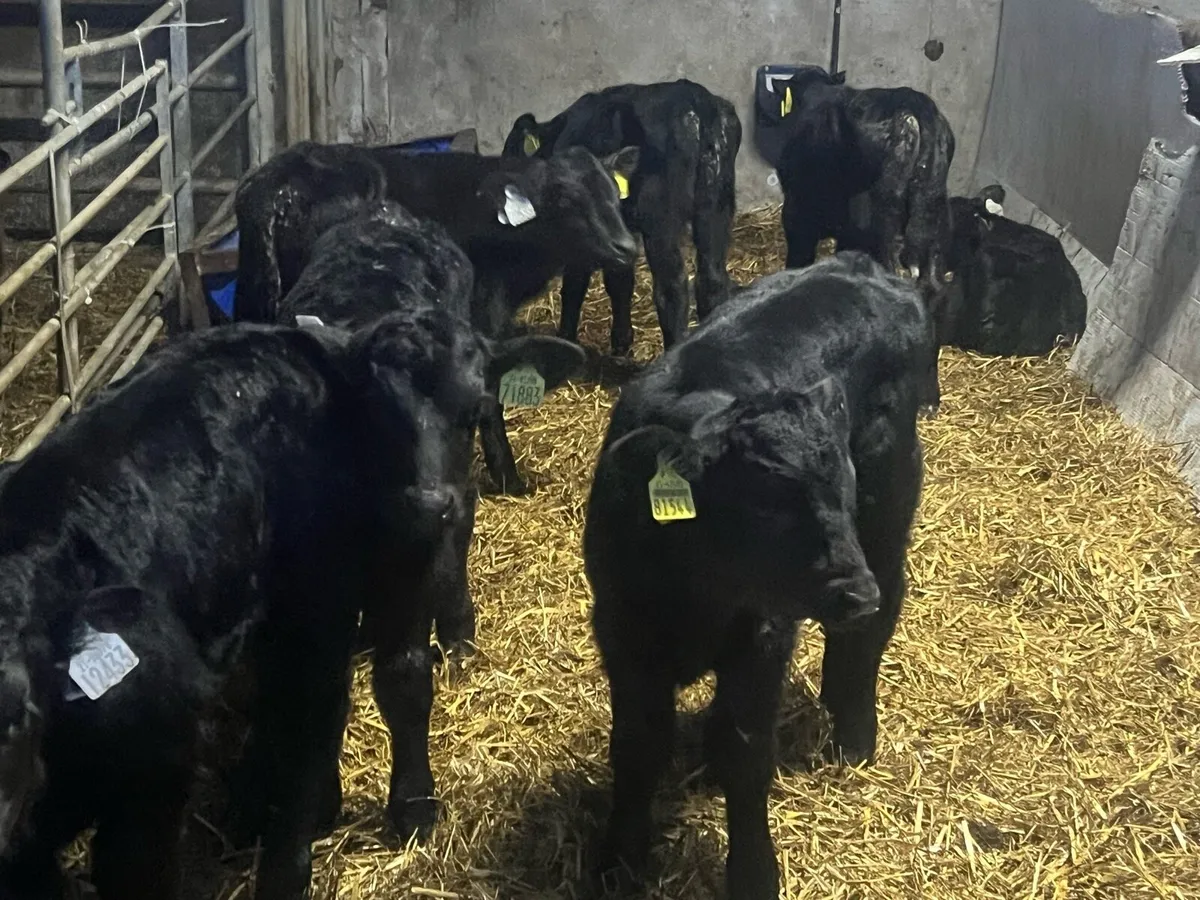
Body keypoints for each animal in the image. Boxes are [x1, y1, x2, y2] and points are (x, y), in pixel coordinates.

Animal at [0, 308, 562, 900]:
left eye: (475, 409)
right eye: (380, 413)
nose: (430, 501)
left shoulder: (152, 788)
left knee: (389, 681)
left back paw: (404, 804)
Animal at [503, 80, 743, 355]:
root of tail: (695, 99)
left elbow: (579, 283)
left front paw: (570, 337)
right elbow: (620, 280)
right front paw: (621, 341)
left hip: (660, 218)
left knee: (672, 288)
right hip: (716, 205)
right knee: (712, 279)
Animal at [583, 252, 931, 900]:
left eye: (841, 490)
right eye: (767, 502)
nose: (854, 592)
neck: (700, 589)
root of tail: (859, 265)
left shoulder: (764, 635)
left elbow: (746, 753)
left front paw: (753, 872)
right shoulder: (623, 633)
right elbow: (638, 746)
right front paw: (620, 857)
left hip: (889, 503)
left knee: (882, 610)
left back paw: (854, 730)